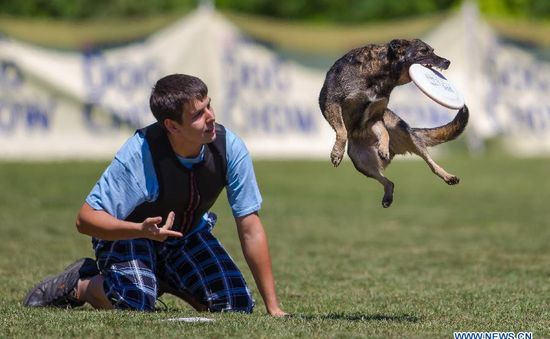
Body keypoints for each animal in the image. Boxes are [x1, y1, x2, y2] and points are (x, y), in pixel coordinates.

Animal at [320, 37, 470, 207]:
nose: (447, 61)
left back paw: (447, 176)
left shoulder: (374, 116)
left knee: (429, 163)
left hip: (407, 137)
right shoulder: (332, 103)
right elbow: (342, 131)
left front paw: (383, 148)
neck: (380, 74)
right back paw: (387, 195)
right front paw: (337, 153)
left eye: (433, 50)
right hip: (360, 161)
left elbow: (384, 131)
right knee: (388, 181)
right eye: (423, 51)